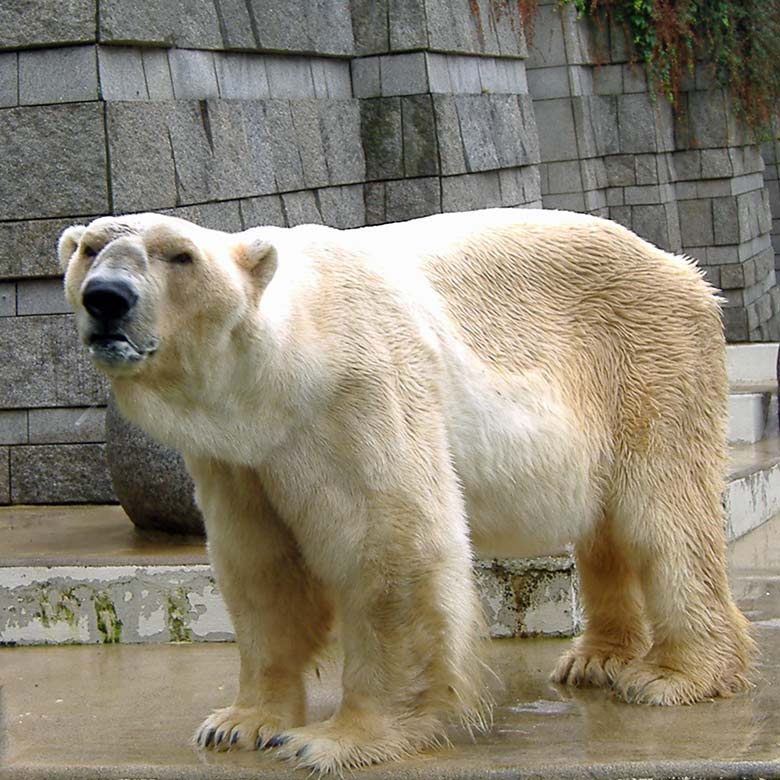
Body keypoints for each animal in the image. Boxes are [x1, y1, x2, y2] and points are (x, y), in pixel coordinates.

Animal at [58, 209, 752, 772]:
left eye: (180, 254)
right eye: (89, 248)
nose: (107, 298)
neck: (283, 368)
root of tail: (686, 271)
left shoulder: (357, 394)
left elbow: (389, 547)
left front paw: (336, 739)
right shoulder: (240, 458)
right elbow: (259, 571)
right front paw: (237, 724)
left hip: (645, 364)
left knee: (662, 518)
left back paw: (675, 675)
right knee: (606, 529)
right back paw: (596, 660)